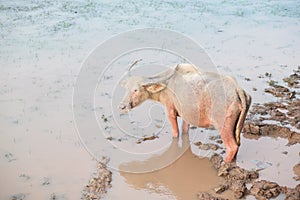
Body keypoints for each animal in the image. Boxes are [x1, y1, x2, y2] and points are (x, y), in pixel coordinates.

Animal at [118, 63, 250, 163]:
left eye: (136, 90)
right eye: (126, 88)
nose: (122, 106)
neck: (167, 85)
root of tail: (237, 89)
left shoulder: (170, 111)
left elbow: (175, 133)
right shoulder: (187, 115)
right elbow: (184, 130)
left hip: (223, 126)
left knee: (232, 146)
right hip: (237, 127)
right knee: (237, 144)